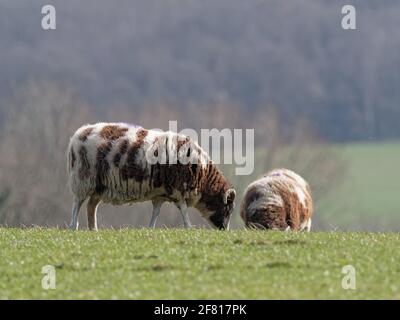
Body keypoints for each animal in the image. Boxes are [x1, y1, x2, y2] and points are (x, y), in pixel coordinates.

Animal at [65, 122, 234, 230]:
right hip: (83, 179)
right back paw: (73, 226)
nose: (224, 230)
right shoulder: (177, 191)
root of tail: (79, 133)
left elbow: (156, 212)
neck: (202, 174)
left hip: (99, 185)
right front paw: (189, 227)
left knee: (91, 206)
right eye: (228, 209)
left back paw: (93, 229)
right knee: (77, 203)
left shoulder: (161, 194)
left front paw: (150, 228)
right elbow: (184, 210)